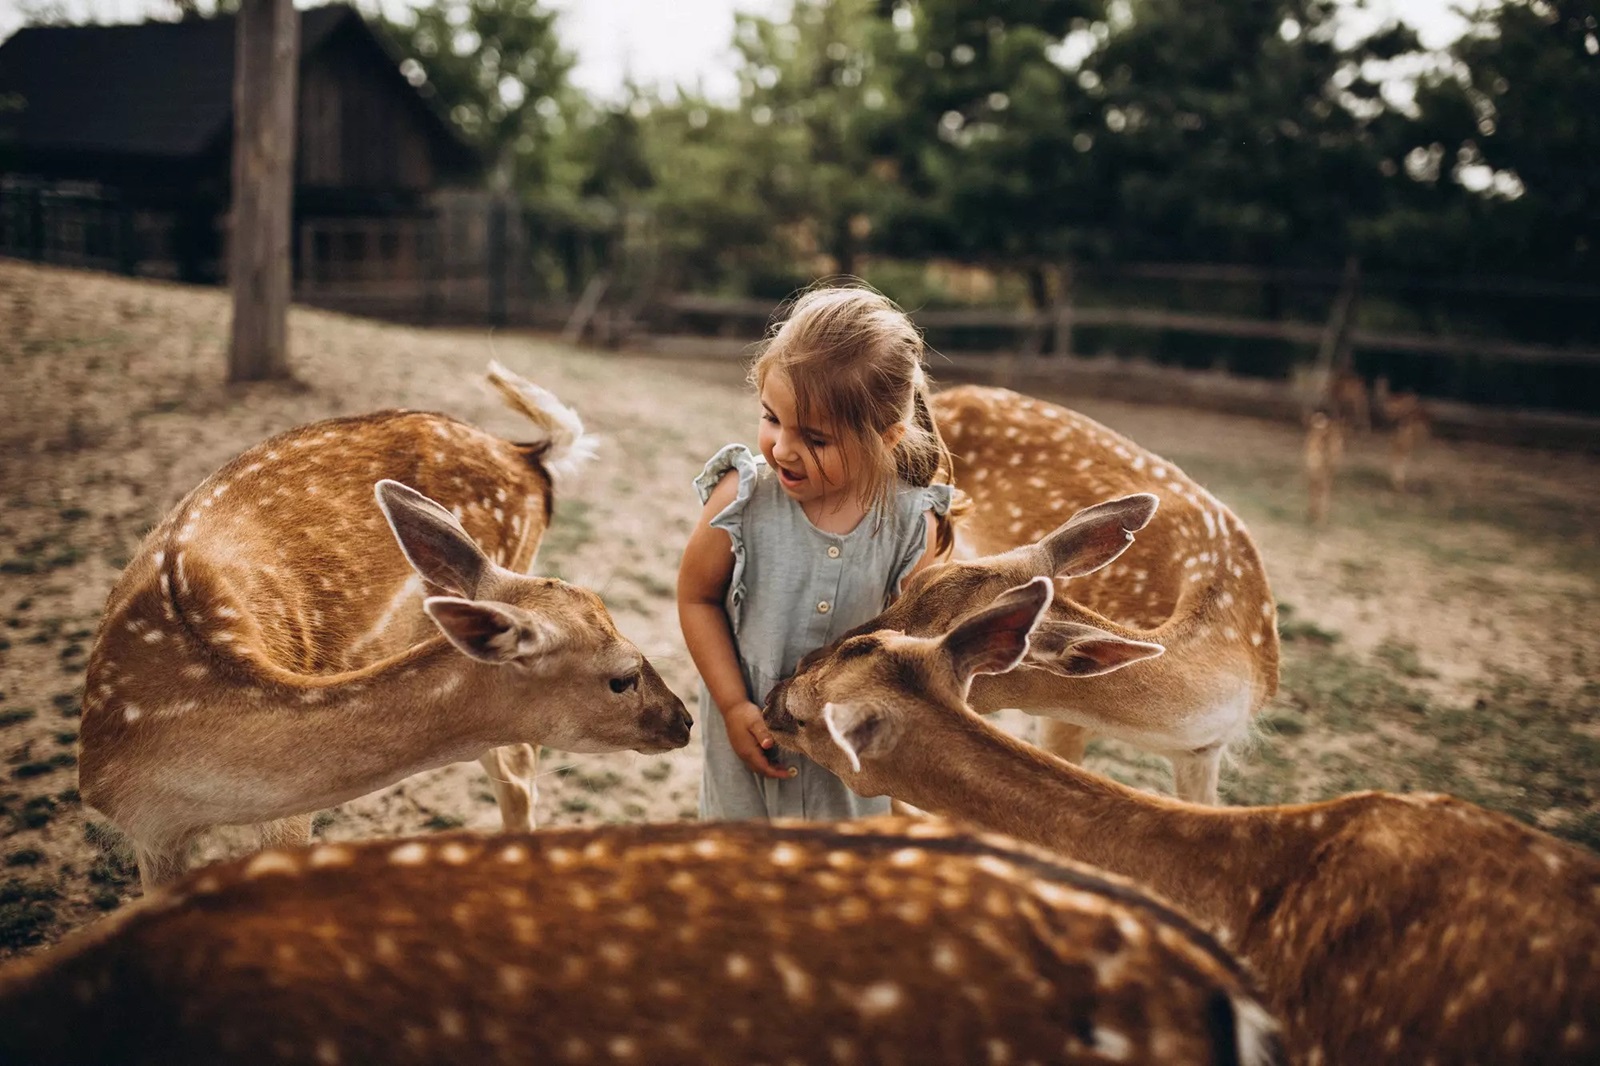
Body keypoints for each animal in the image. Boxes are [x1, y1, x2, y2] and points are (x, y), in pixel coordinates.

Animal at [79, 364, 694, 889]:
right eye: (622, 677)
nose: (684, 720)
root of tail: (528, 455)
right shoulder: (149, 834)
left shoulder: (290, 815)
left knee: (519, 765)